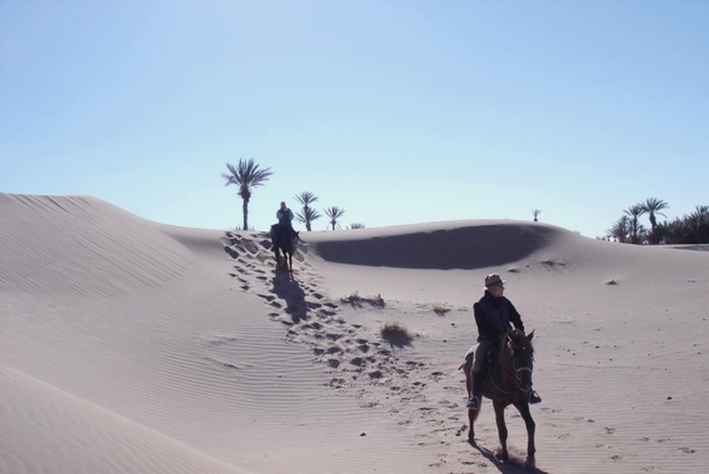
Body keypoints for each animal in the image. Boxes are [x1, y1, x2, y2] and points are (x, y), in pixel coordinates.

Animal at [464, 330, 536, 470]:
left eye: (531, 353)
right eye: (514, 354)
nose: (526, 383)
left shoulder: (521, 402)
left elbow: (530, 424)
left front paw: (530, 458)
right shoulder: (498, 404)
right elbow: (502, 429)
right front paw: (504, 455)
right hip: (471, 387)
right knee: (471, 413)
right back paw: (470, 436)